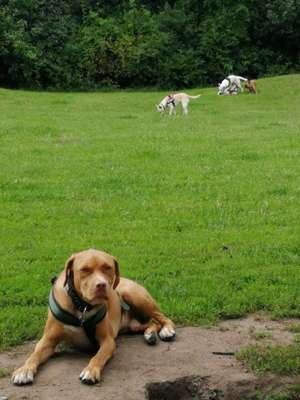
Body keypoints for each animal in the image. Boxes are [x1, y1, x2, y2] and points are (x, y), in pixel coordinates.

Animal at [12, 250, 176, 384]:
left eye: (107, 268)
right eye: (84, 269)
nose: (101, 285)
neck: (81, 306)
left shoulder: (108, 341)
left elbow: (98, 356)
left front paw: (90, 371)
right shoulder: (48, 340)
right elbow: (34, 354)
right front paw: (24, 370)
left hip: (135, 296)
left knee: (162, 318)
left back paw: (167, 330)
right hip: (133, 324)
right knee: (152, 322)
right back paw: (150, 334)